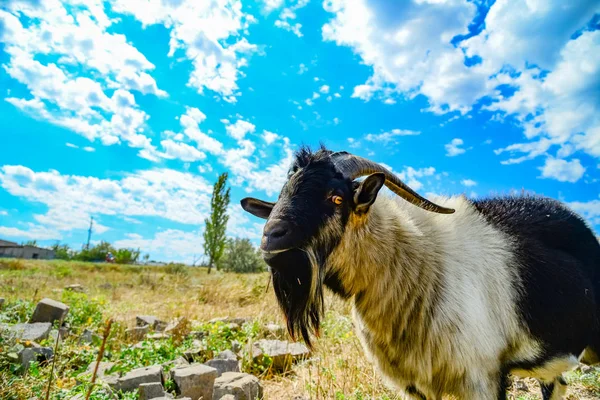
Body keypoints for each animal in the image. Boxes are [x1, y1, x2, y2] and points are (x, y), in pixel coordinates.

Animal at [240, 147, 600, 400]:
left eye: (336, 197)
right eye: (282, 195)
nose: (270, 238)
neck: (420, 262)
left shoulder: (481, 378)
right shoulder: (415, 383)